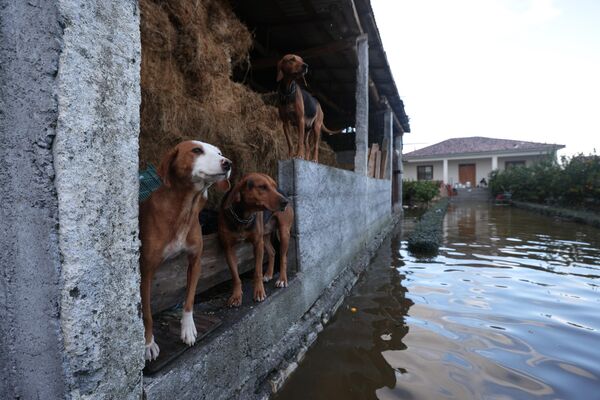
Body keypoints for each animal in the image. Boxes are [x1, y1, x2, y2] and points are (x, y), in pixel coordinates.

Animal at [141, 141, 232, 362]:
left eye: (219, 152)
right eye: (196, 150)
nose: (228, 163)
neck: (185, 208)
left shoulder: (195, 260)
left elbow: (189, 298)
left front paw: (188, 329)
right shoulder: (146, 271)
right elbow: (147, 313)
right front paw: (148, 343)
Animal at [220, 172, 296, 306]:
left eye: (274, 186)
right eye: (262, 187)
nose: (285, 202)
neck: (243, 216)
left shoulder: (257, 244)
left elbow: (257, 271)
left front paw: (259, 292)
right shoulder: (228, 248)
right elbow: (235, 276)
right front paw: (236, 296)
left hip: (284, 233)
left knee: (283, 258)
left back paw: (282, 279)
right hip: (264, 235)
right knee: (272, 252)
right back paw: (269, 274)